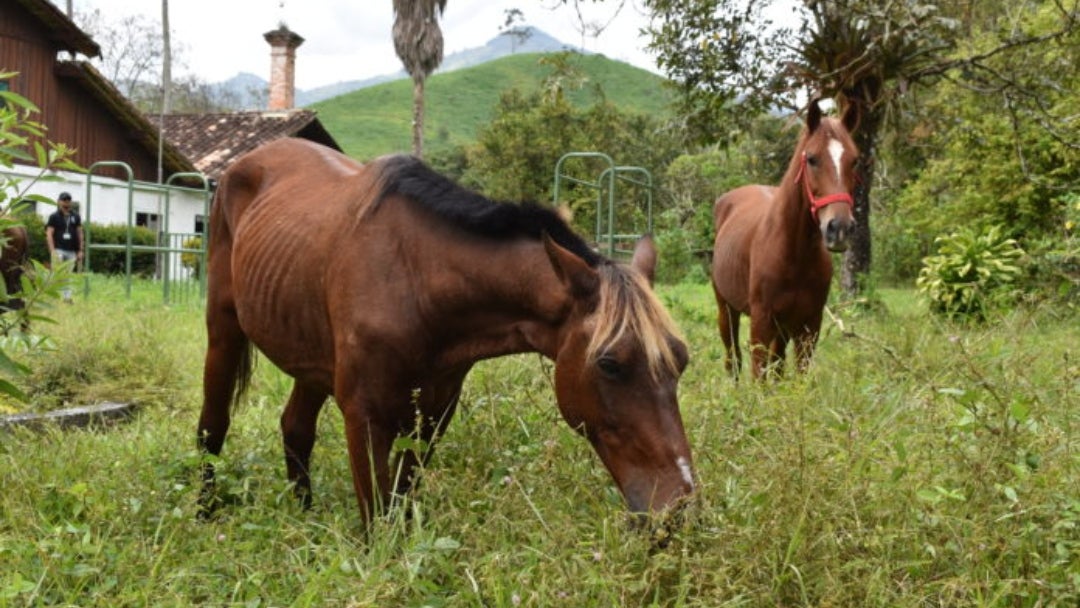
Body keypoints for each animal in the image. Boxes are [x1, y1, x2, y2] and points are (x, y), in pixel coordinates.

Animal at [198, 138, 695, 526]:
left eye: (681, 360)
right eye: (609, 364)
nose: (679, 506)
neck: (416, 280)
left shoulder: (433, 416)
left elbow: (400, 504)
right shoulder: (363, 414)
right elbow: (377, 520)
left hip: (311, 356)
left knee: (296, 427)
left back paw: (304, 516)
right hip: (224, 330)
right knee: (212, 427)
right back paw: (205, 514)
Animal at [710, 99, 859, 380]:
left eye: (855, 161)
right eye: (812, 159)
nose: (840, 228)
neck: (792, 252)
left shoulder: (809, 325)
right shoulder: (761, 321)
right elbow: (758, 374)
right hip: (726, 308)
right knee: (733, 359)